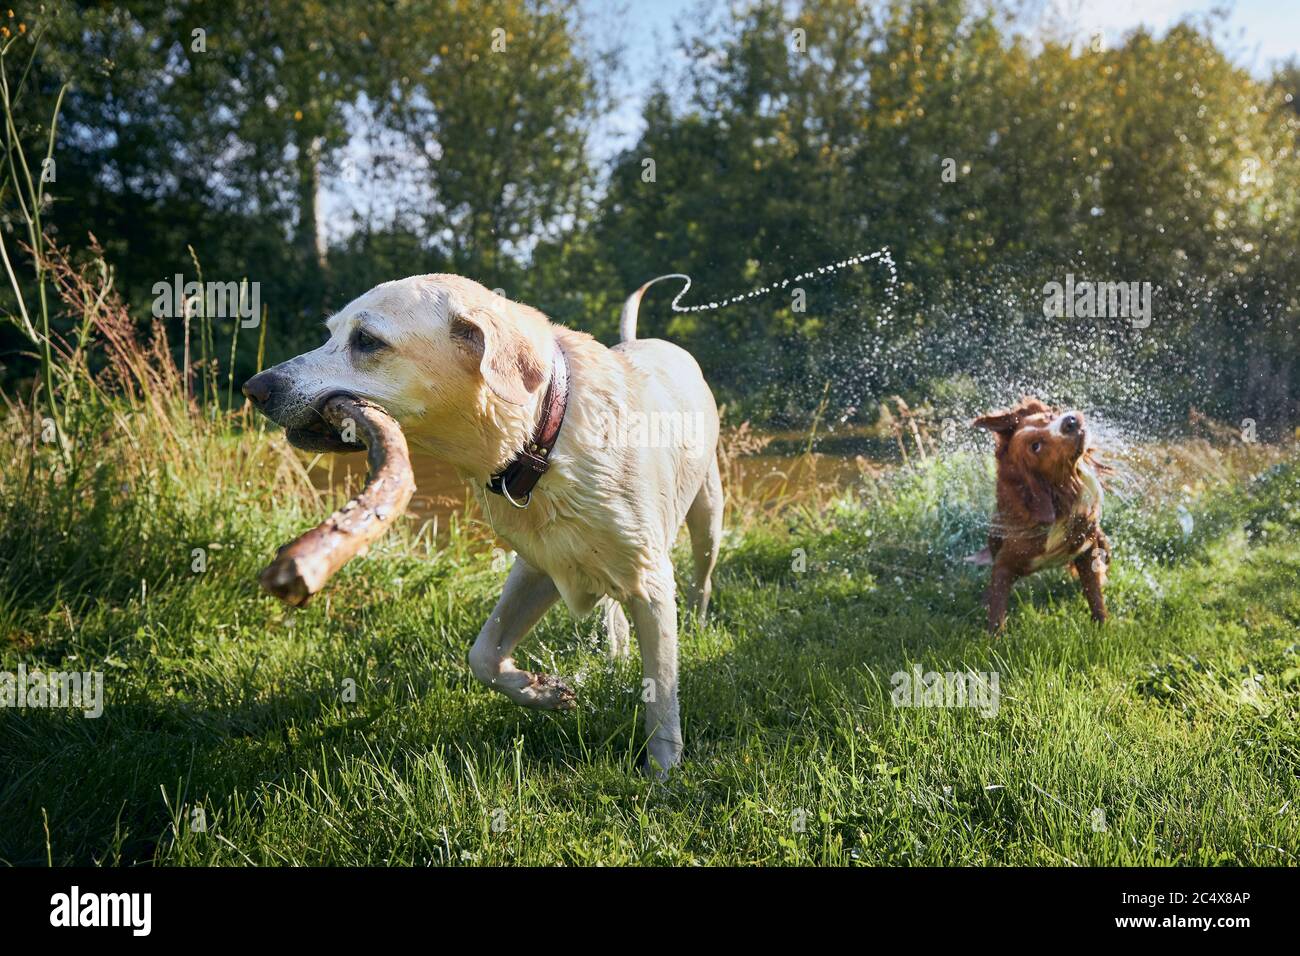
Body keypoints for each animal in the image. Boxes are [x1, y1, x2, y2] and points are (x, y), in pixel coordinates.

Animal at [972, 398, 1112, 632]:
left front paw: (1102, 627)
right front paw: (994, 636)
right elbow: (997, 609)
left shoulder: (1085, 548)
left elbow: (1095, 596)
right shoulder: (1005, 563)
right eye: (1036, 446)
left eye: (1048, 417)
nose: (1070, 421)